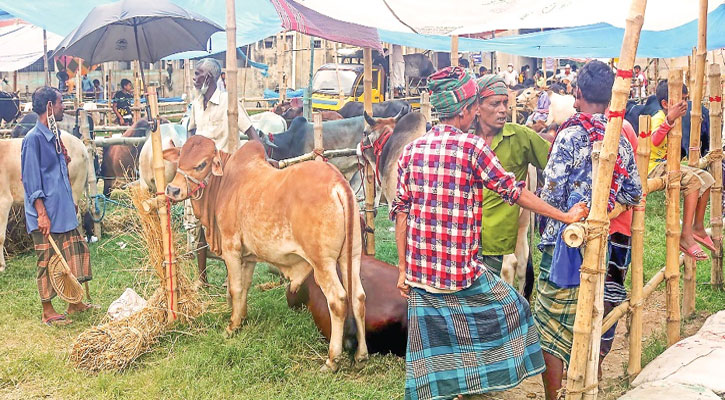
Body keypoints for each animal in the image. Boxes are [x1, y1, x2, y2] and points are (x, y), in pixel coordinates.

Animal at [0, 131, 91, 272]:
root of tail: (80, 144)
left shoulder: (4, 200)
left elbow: (0, 236)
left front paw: (2, 266)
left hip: (75, 187)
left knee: (76, 217)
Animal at [164, 138, 368, 372]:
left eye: (201, 164)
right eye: (180, 158)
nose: (173, 189)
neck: (224, 183)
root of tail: (338, 183)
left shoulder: (231, 249)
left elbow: (234, 288)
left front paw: (231, 326)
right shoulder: (249, 257)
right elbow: (244, 287)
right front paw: (241, 318)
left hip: (322, 263)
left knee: (338, 300)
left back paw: (332, 359)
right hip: (351, 256)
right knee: (358, 297)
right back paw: (361, 355)